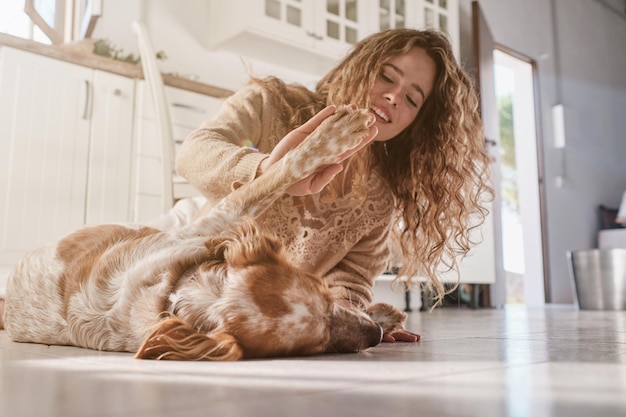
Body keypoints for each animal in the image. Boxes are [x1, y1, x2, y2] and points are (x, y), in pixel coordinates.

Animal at [0, 105, 404, 360]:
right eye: (316, 346)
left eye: (323, 292)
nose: (375, 336)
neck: (179, 293)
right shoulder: (213, 220)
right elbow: (279, 172)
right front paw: (333, 135)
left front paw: (383, 316)